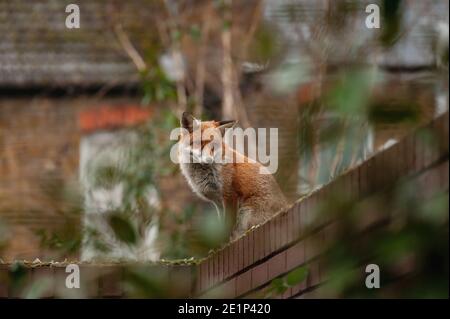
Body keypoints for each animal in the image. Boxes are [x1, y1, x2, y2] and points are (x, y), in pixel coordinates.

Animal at [177, 112, 286, 240]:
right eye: (200, 143)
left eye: (214, 146)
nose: (209, 160)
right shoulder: (217, 202)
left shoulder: (230, 194)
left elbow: (227, 227)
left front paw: (223, 243)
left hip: (246, 214)